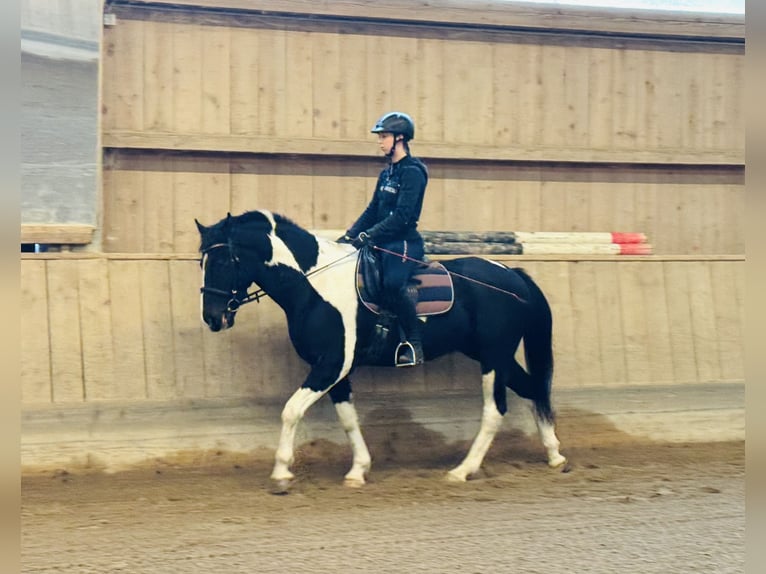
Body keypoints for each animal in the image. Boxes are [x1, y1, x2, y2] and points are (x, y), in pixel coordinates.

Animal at [196, 210, 568, 490]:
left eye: (225, 261)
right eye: (203, 262)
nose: (213, 318)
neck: (314, 285)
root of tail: (512, 275)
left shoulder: (330, 364)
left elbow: (290, 411)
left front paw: (281, 474)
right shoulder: (337, 370)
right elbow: (348, 419)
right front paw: (358, 471)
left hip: (493, 356)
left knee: (495, 410)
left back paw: (462, 471)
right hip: (494, 355)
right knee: (533, 390)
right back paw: (555, 456)